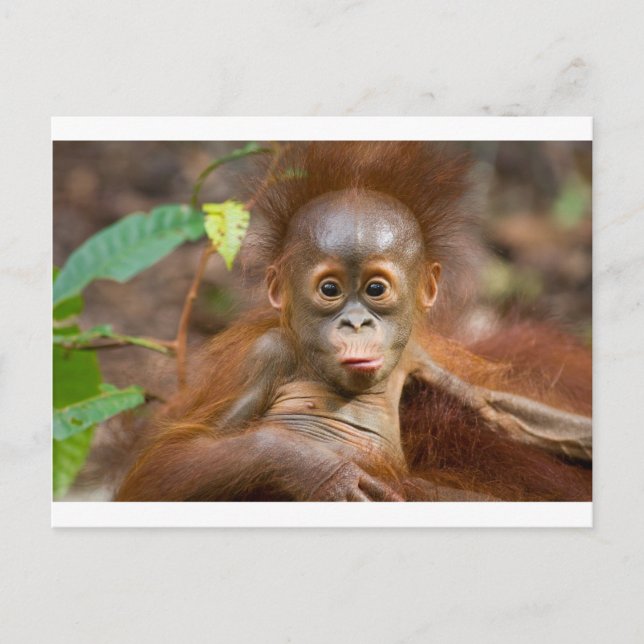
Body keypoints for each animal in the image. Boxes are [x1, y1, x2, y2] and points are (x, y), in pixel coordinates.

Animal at [115, 142, 591, 502]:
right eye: (330, 289)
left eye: (375, 289)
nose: (357, 323)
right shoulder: (265, 355)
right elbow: (163, 468)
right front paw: (317, 470)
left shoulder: (416, 354)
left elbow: (497, 411)